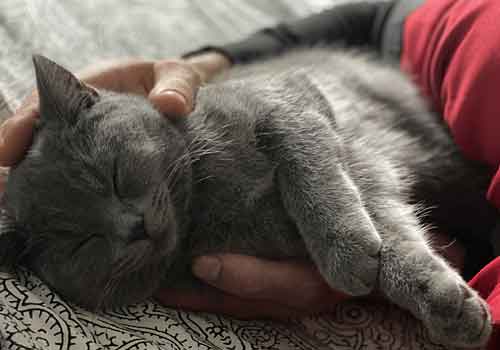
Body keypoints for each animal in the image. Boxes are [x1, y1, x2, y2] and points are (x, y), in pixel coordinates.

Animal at [0, 50, 496, 348]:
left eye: (116, 174)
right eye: (81, 242)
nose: (133, 227)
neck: (206, 202)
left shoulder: (292, 105)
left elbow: (321, 178)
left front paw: (350, 251)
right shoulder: (366, 167)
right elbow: (390, 226)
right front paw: (444, 302)